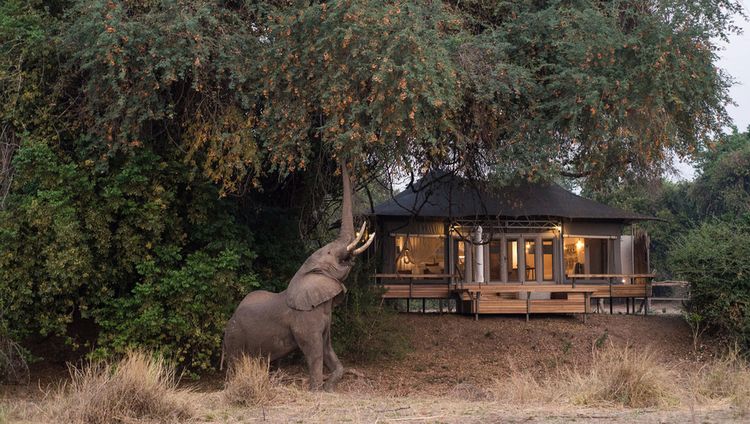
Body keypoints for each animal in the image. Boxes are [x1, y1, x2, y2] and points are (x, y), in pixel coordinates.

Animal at [223, 160, 376, 390]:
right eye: (329, 253)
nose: (341, 159)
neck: (305, 272)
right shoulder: (305, 319)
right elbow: (314, 350)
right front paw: (316, 390)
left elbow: (326, 348)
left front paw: (330, 386)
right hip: (235, 337)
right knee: (235, 364)